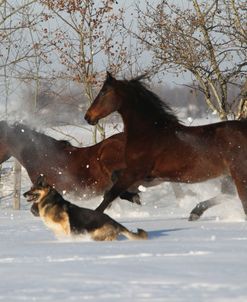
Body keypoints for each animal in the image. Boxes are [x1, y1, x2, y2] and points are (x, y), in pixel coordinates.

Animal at [85, 71, 247, 219]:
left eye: (103, 92)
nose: (88, 117)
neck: (149, 133)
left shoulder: (135, 172)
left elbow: (110, 194)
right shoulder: (148, 176)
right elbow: (114, 178)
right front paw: (134, 197)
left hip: (239, 174)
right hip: (228, 175)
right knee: (228, 194)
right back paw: (195, 212)